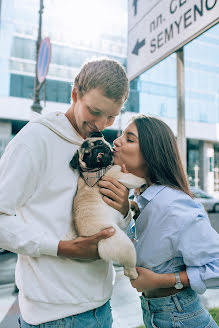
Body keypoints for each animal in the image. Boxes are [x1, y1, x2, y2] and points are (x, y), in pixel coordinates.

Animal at [69, 131, 146, 280]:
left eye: (99, 143)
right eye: (86, 155)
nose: (96, 152)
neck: (99, 170)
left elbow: (129, 201)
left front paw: (134, 205)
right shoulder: (120, 175)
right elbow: (135, 178)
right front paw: (145, 180)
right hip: (123, 244)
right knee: (129, 269)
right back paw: (135, 274)